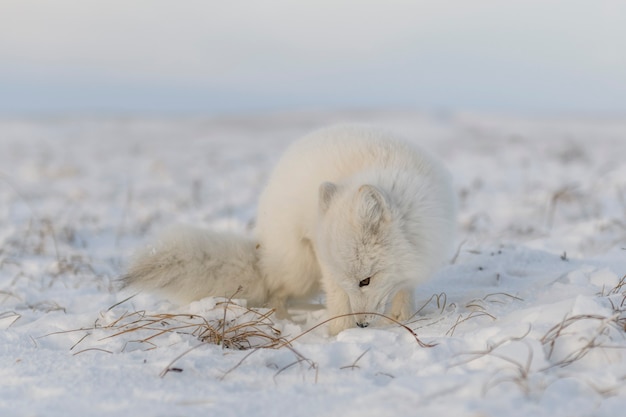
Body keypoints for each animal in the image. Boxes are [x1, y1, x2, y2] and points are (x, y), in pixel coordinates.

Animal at [122, 124, 454, 334]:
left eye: (365, 281)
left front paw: (401, 317)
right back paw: (281, 319)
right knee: (274, 290)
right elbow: (338, 302)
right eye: (356, 282)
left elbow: (404, 292)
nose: (361, 325)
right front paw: (340, 334)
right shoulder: (327, 268)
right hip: (301, 270)